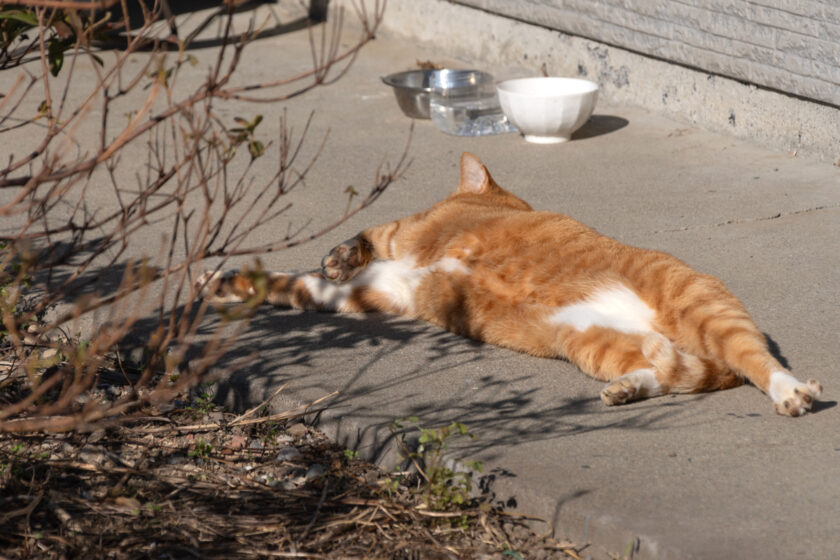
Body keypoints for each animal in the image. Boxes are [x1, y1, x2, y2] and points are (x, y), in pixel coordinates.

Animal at [202, 153, 820, 416]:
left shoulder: (403, 241)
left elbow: (364, 241)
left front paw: (336, 256)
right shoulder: (372, 292)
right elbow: (291, 283)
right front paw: (225, 281)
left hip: (700, 308)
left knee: (756, 362)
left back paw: (793, 393)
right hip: (589, 343)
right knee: (668, 373)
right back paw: (627, 390)